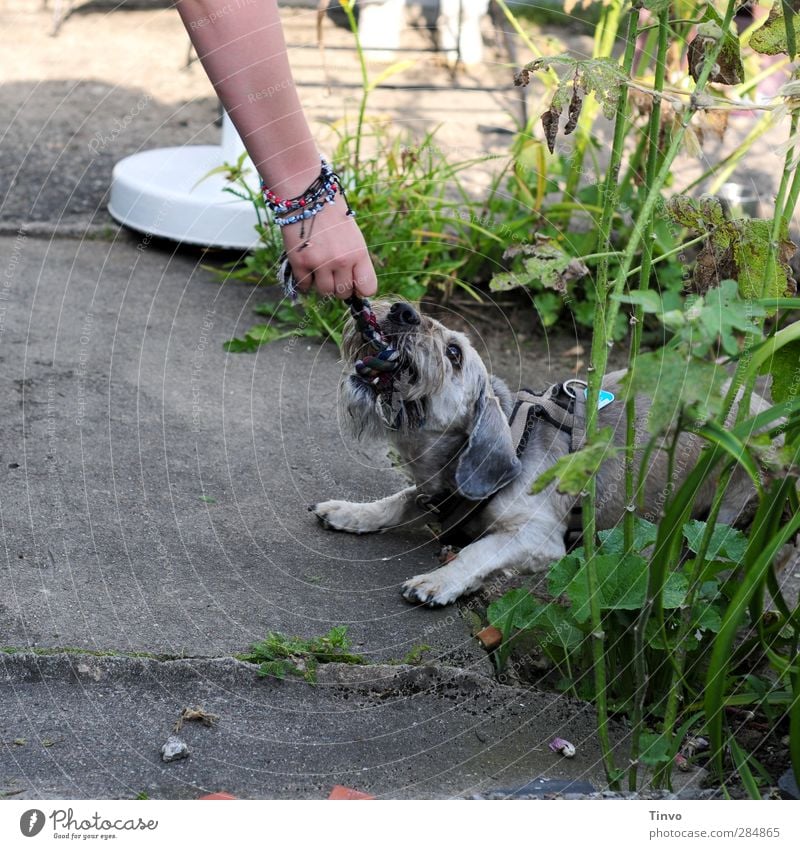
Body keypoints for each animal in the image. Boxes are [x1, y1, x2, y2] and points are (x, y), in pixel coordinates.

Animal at [310, 302, 764, 608]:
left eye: (454, 353)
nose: (402, 311)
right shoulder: (429, 494)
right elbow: (394, 502)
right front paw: (351, 512)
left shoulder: (535, 536)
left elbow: (477, 551)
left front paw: (438, 580)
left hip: (728, 501)